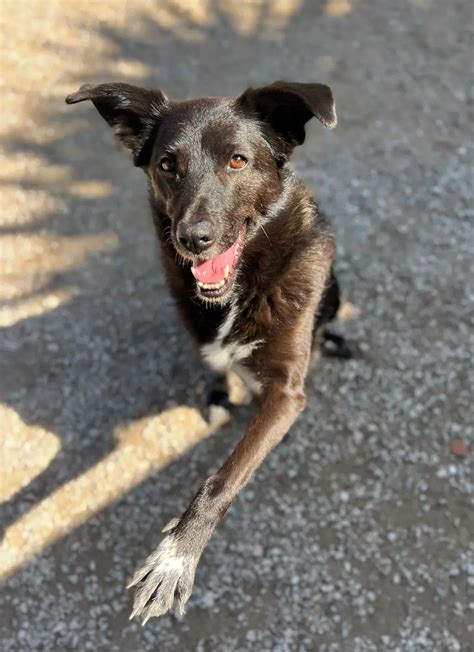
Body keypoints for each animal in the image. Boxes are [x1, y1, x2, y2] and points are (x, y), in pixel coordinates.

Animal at [65, 80, 350, 620]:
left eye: (238, 160)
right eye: (166, 165)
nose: (193, 239)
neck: (240, 290)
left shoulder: (287, 390)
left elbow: (223, 478)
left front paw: (176, 557)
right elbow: (221, 370)